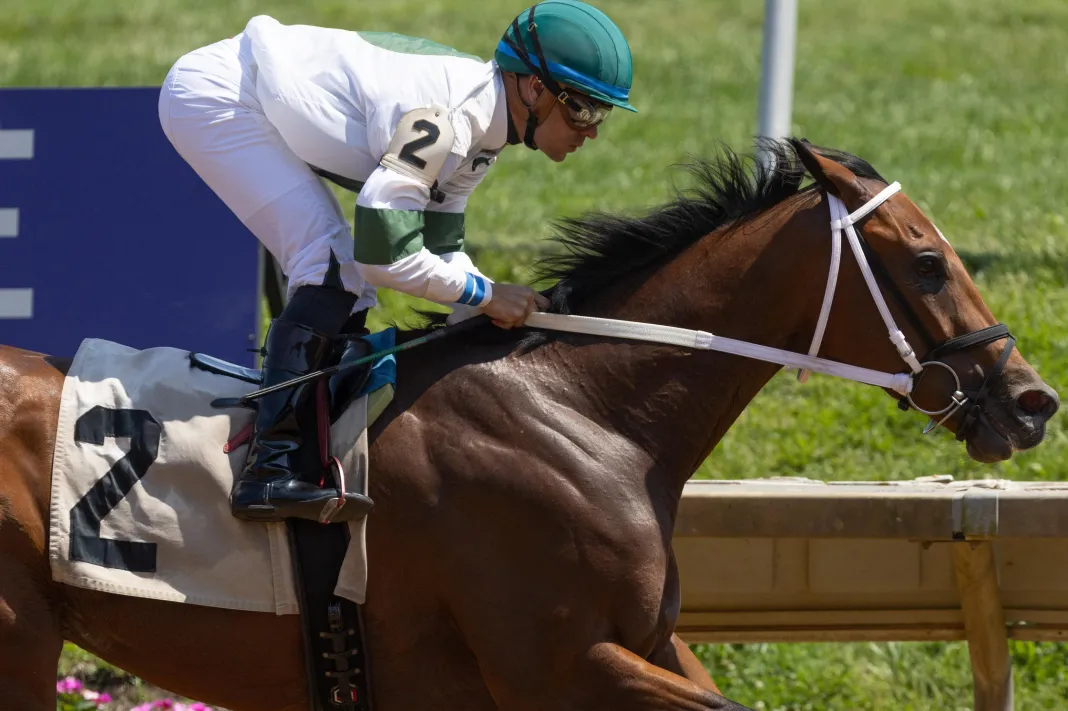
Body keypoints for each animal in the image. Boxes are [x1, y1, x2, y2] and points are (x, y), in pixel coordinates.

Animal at [0, 139, 1058, 711]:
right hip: (20, 638)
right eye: (926, 262)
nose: (1033, 400)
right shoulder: (557, 665)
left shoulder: (644, 642)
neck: (586, 412)